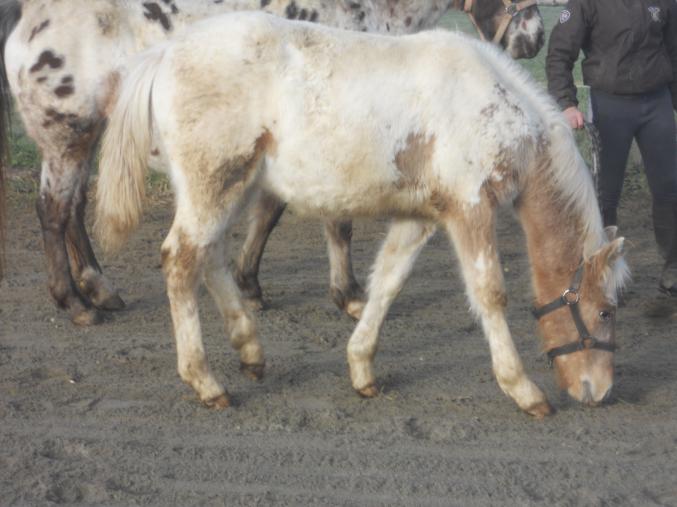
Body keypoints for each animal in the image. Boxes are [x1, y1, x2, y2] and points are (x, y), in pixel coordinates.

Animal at [0, 0, 545, 323]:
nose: (535, 37)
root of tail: (30, 15)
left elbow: (268, 213)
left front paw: (251, 286)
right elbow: (336, 223)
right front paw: (348, 294)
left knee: (73, 212)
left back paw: (100, 290)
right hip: (68, 136)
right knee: (53, 212)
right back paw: (75, 303)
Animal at [95, 12, 628, 415]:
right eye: (605, 310)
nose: (599, 391)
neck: (490, 103)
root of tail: (166, 54)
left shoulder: (423, 216)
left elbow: (387, 282)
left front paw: (362, 368)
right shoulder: (470, 208)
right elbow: (489, 293)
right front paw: (524, 390)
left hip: (231, 189)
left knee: (212, 258)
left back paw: (251, 351)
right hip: (214, 185)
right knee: (181, 260)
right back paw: (206, 381)